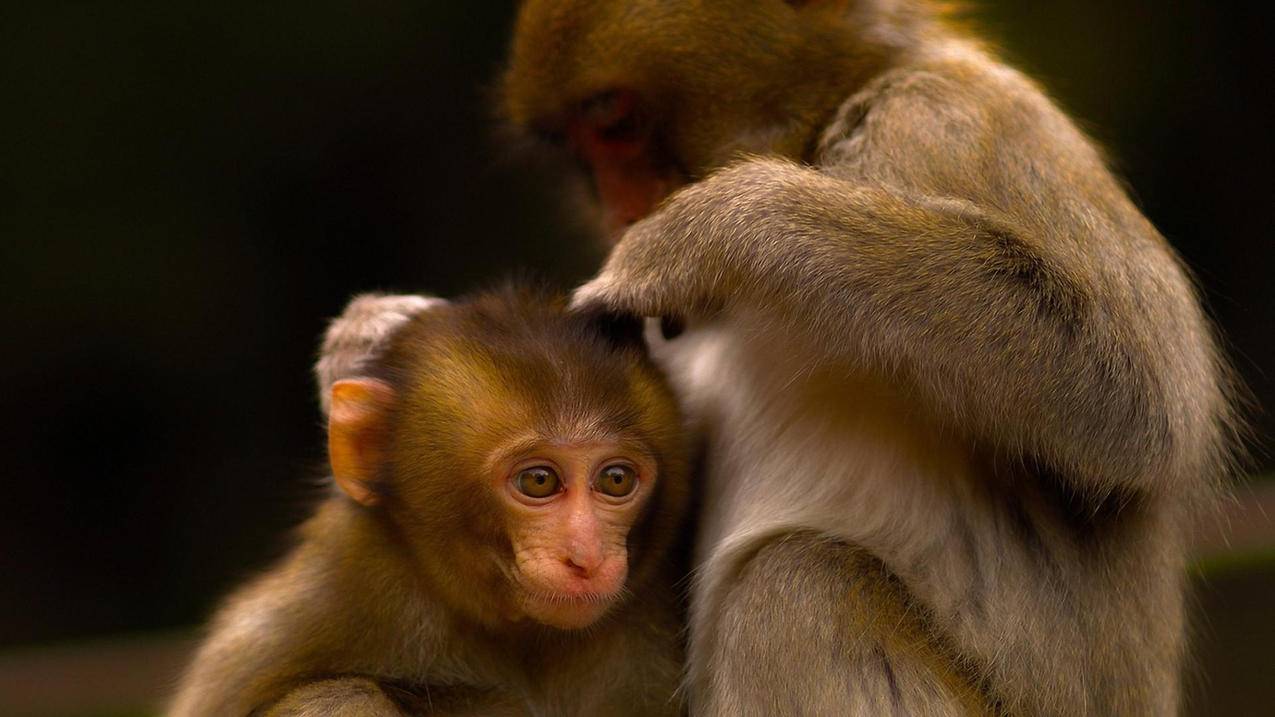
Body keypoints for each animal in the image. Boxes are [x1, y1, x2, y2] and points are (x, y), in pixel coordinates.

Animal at [318, 1, 1244, 709]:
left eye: (615, 122)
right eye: (583, 148)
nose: (617, 208)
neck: (832, 120)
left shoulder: (948, 122)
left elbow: (1132, 397)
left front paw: (712, 229)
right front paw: (366, 337)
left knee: (795, 587)